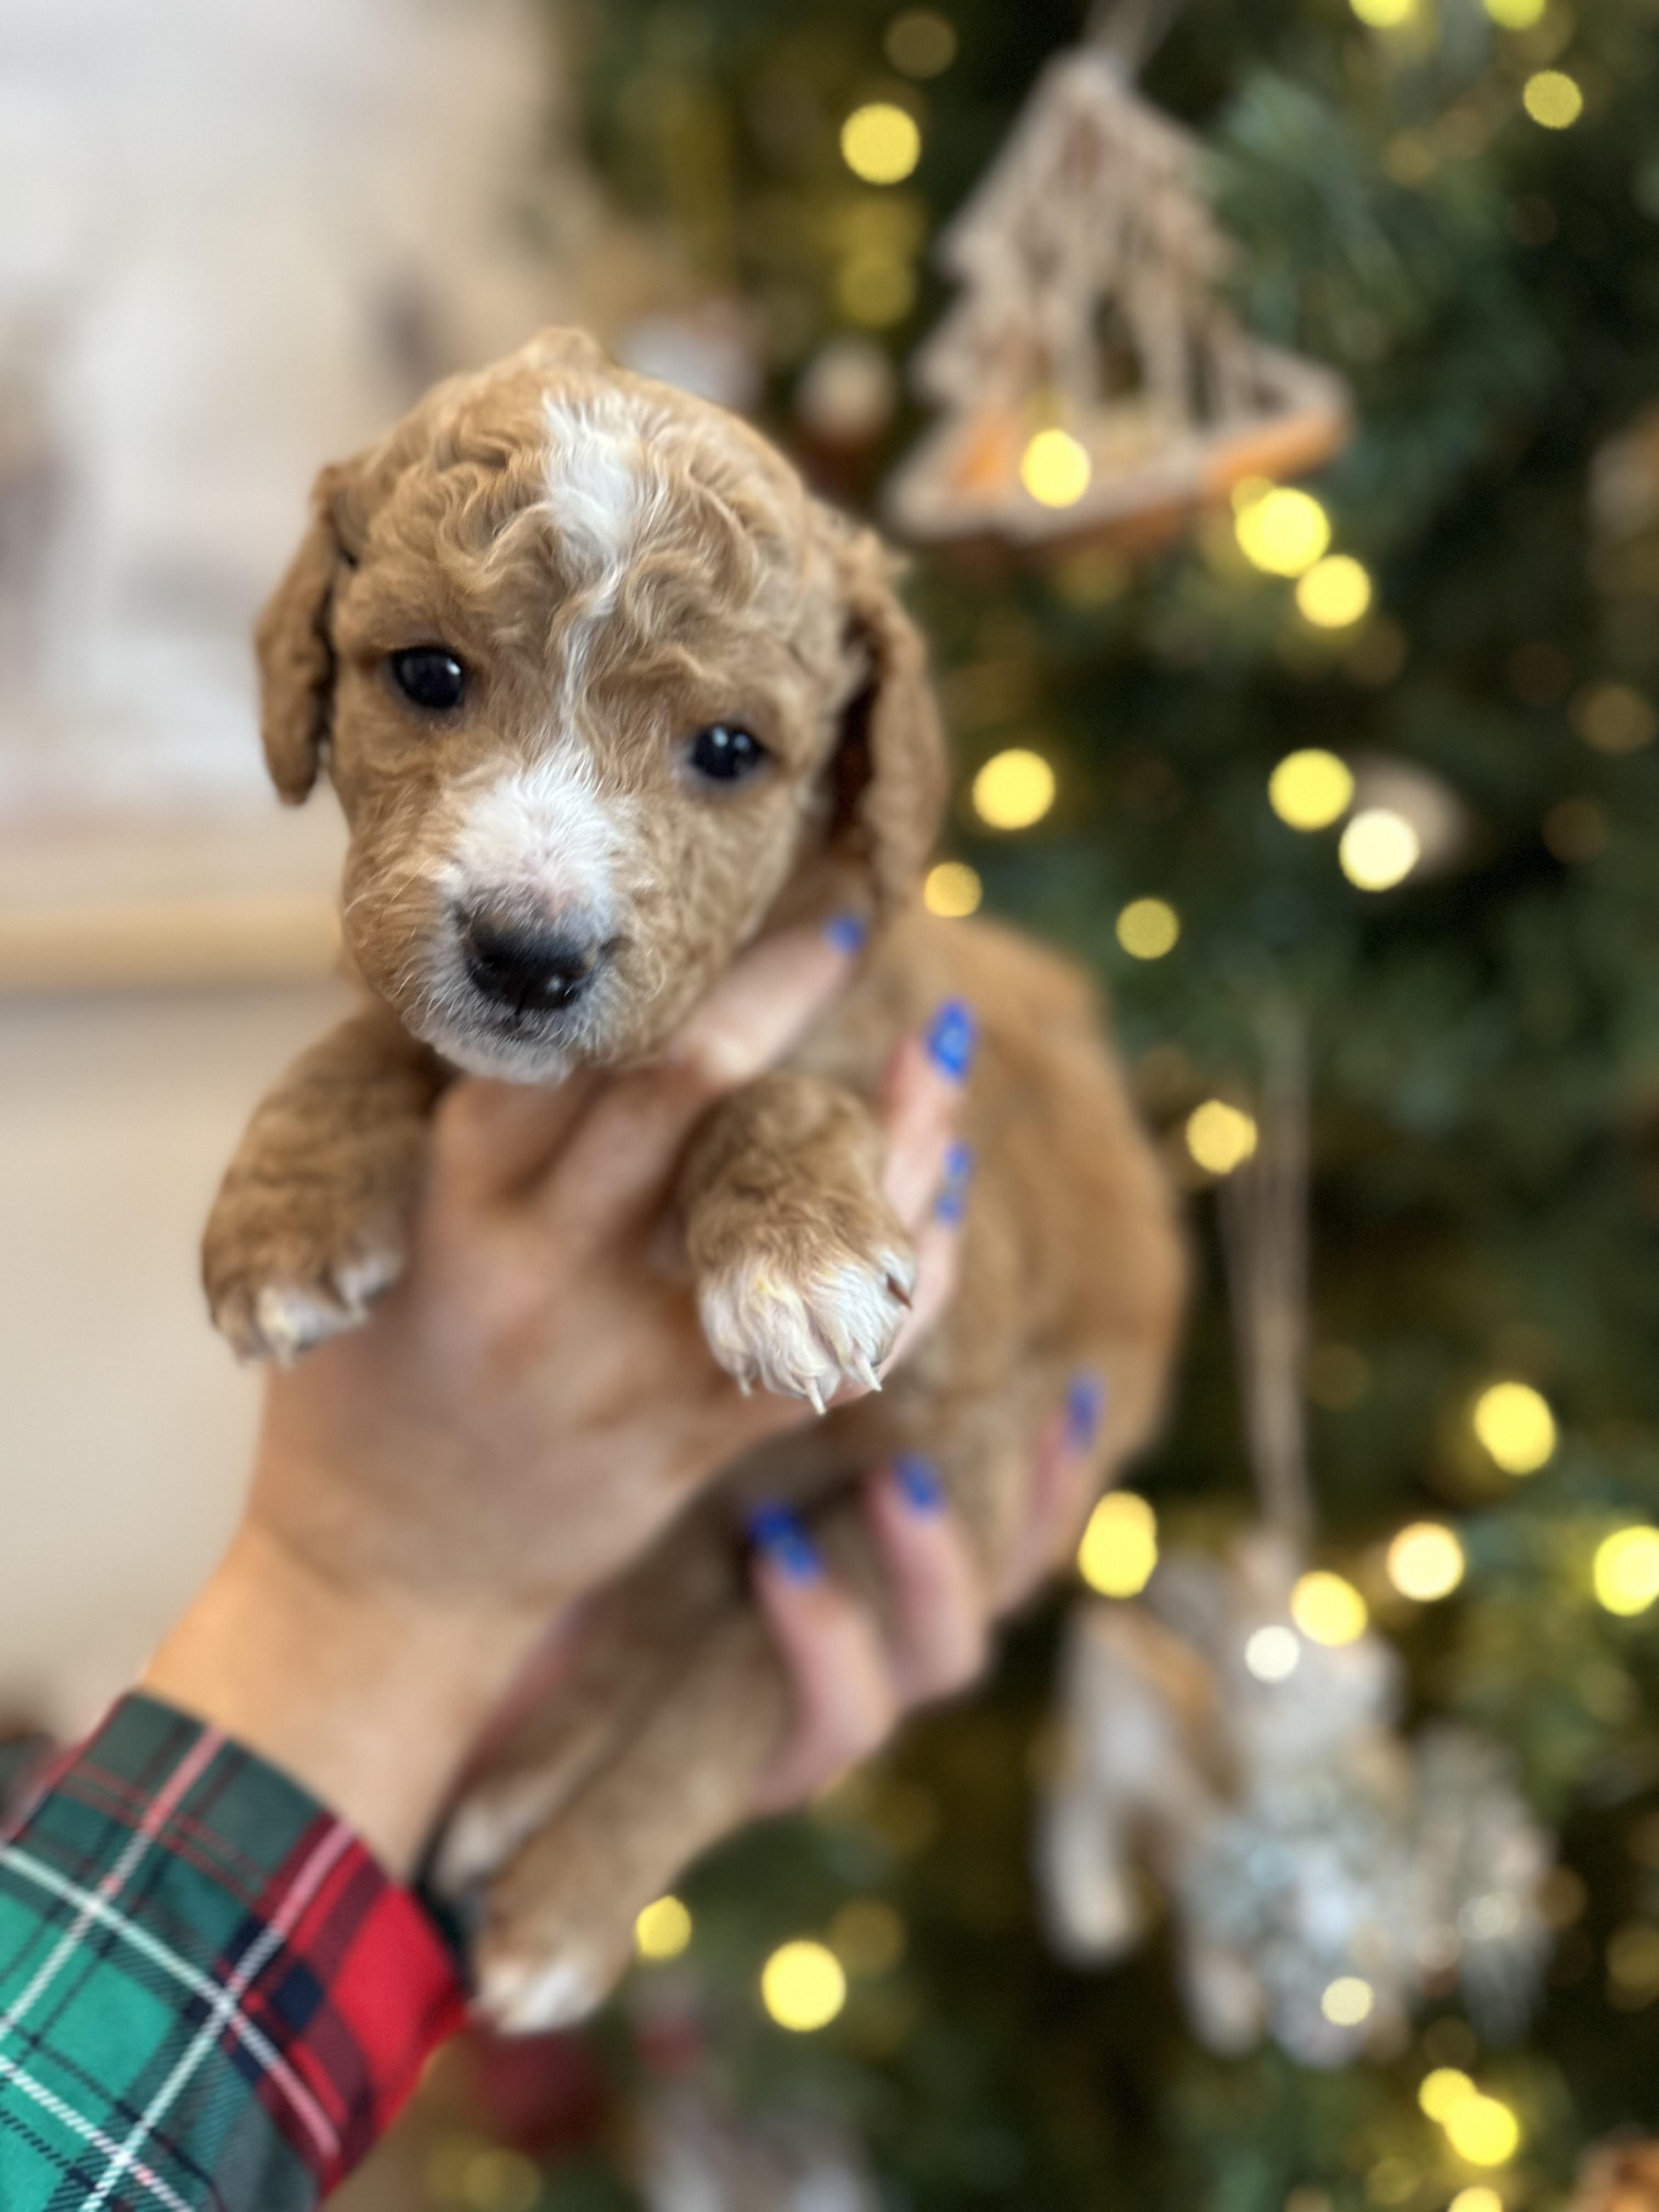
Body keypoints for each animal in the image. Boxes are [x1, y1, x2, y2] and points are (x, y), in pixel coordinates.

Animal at [202, 328, 1185, 2029]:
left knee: (714, 1612)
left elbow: (738, 1701)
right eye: (427, 675)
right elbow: (377, 1026)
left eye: (731, 752)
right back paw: (525, 1778)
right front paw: (288, 1213)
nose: (526, 957)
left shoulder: (967, 1436)